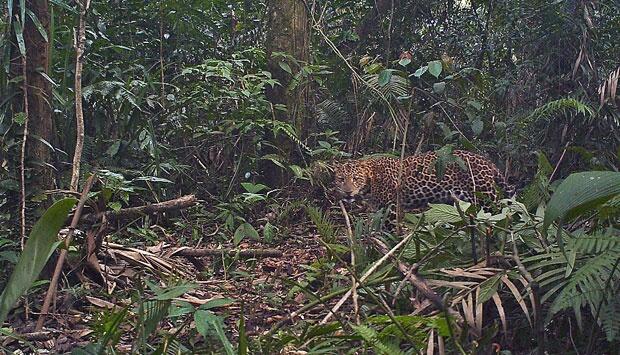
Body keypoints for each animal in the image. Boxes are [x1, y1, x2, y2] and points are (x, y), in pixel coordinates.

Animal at [334, 150, 512, 211]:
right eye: (341, 179)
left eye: (356, 179)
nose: (348, 192)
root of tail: (486, 161)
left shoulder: (392, 208)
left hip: (485, 195)